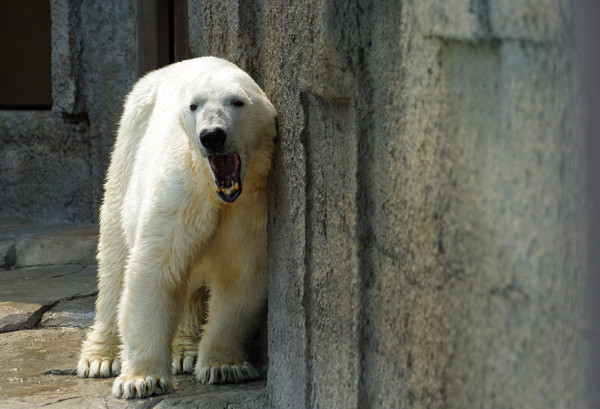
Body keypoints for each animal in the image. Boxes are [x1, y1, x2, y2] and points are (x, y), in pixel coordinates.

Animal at [76, 57, 278, 398]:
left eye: (237, 102)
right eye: (194, 105)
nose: (212, 136)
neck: (215, 193)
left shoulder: (251, 207)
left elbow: (240, 274)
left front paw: (224, 366)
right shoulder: (179, 193)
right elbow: (157, 269)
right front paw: (140, 380)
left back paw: (185, 350)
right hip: (128, 144)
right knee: (114, 260)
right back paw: (99, 358)